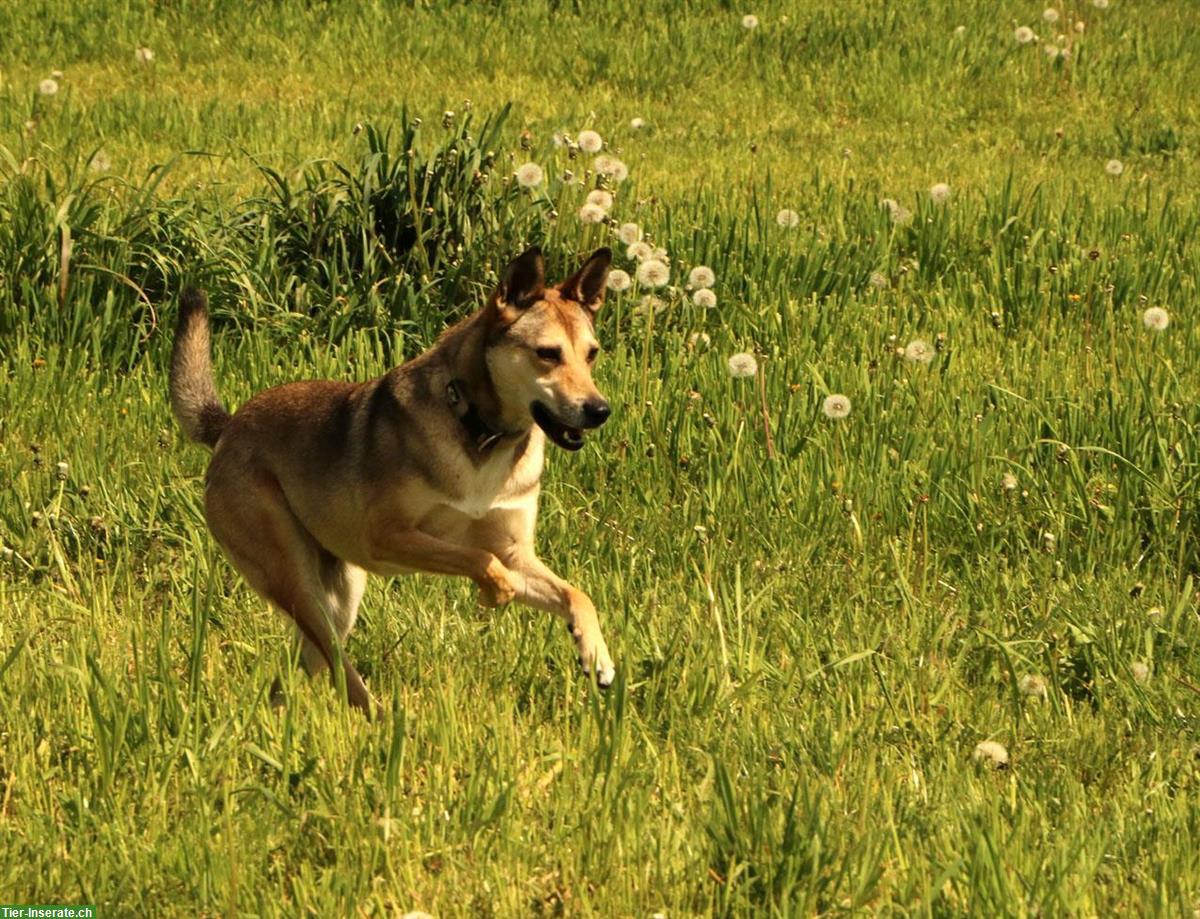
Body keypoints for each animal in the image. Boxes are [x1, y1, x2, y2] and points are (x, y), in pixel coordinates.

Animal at [171, 248, 619, 715]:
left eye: (592, 354)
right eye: (547, 353)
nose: (599, 410)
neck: (480, 434)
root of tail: (227, 429)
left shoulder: (515, 551)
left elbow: (575, 594)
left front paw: (596, 655)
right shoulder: (388, 535)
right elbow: (479, 559)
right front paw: (497, 592)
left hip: (339, 598)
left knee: (301, 670)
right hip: (295, 579)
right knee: (340, 666)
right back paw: (382, 717)